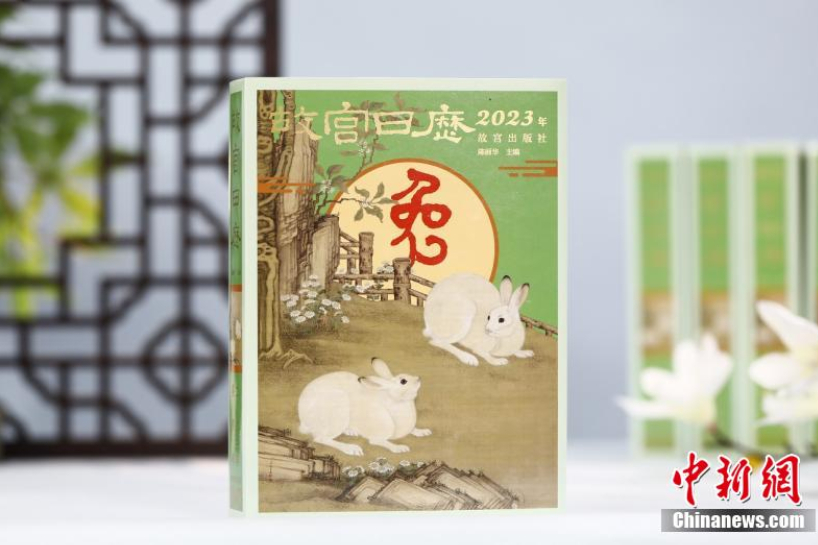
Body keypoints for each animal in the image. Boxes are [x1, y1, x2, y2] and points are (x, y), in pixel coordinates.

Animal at [298, 358, 431, 456]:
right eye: (403, 381)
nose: (419, 378)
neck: (393, 400)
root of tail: (303, 418)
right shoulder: (378, 436)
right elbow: (383, 442)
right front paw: (399, 448)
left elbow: (413, 429)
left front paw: (423, 431)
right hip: (337, 411)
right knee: (321, 438)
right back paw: (352, 449)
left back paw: (351, 431)